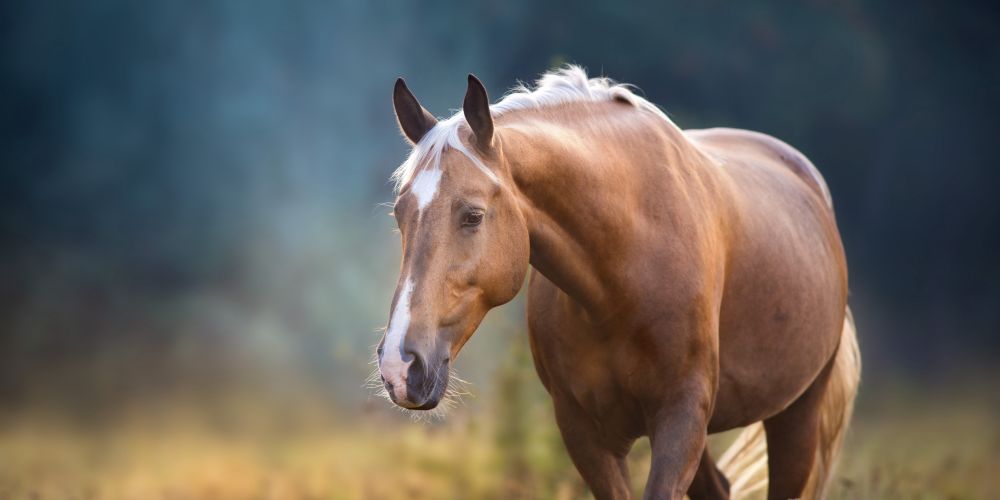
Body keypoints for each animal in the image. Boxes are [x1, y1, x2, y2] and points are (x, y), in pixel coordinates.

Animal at [374, 66, 860, 500]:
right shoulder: (585, 433)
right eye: (400, 215)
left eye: (473, 215)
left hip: (797, 416)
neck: (620, 280)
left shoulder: (680, 419)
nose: (400, 365)